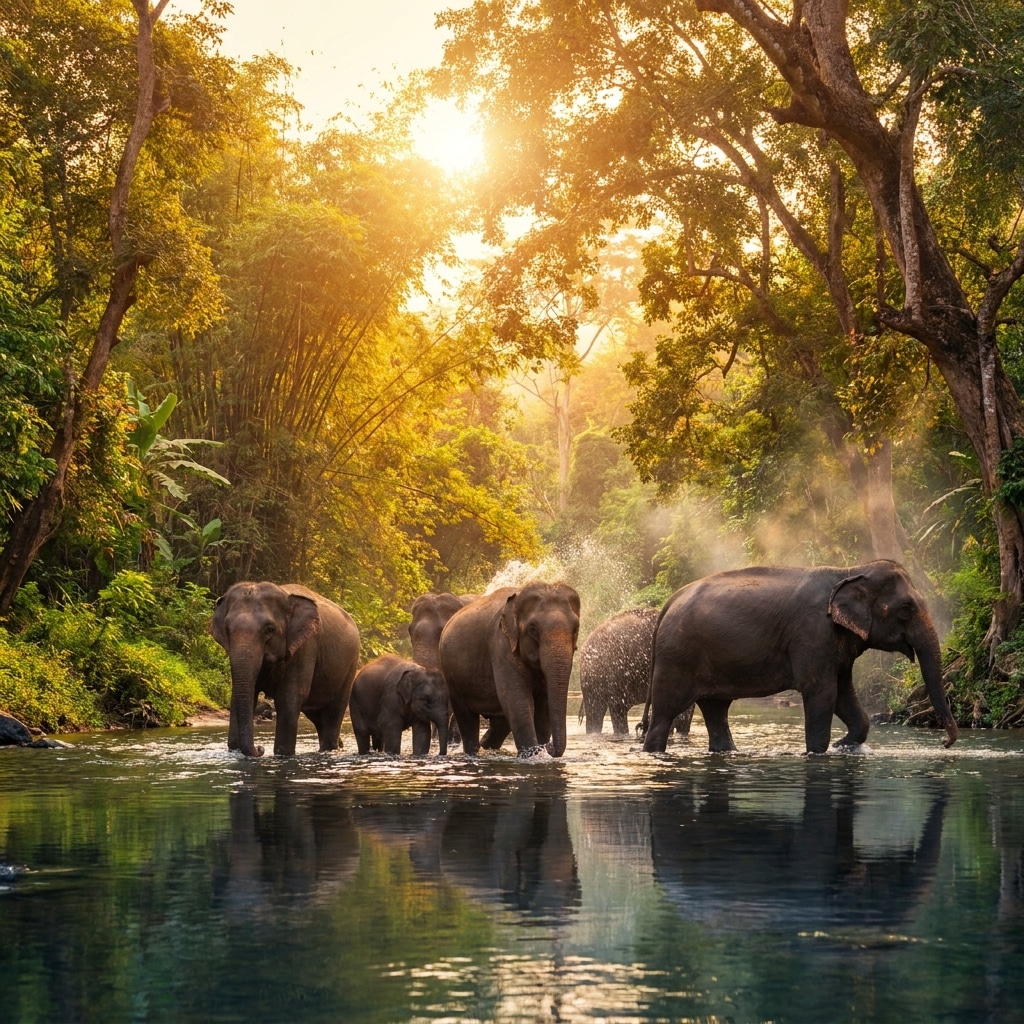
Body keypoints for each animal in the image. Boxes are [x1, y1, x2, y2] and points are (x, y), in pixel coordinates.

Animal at [210, 581, 360, 757]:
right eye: (227, 630)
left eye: (269, 629)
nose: (260, 748)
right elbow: (241, 696)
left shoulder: (305, 647)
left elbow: (288, 698)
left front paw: (283, 754)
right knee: (318, 717)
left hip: (350, 665)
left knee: (333, 713)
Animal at [439, 581, 581, 758]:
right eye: (533, 629)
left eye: (576, 629)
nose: (548, 746)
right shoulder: (501, 646)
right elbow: (517, 699)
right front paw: (533, 755)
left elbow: (543, 704)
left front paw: (540, 752)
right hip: (452, 677)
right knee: (467, 717)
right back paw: (473, 752)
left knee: (500, 724)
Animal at [640, 560, 959, 754]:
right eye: (906, 609)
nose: (944, 743)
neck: (850, 570)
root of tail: (670, 602)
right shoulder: (813, 633)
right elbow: (822, 692)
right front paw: (819, 751)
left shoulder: (834, 643)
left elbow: (844, 695)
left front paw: (844, 746)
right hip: (676, 658)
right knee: (664, 714)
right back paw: (653, 751)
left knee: (716, 710)